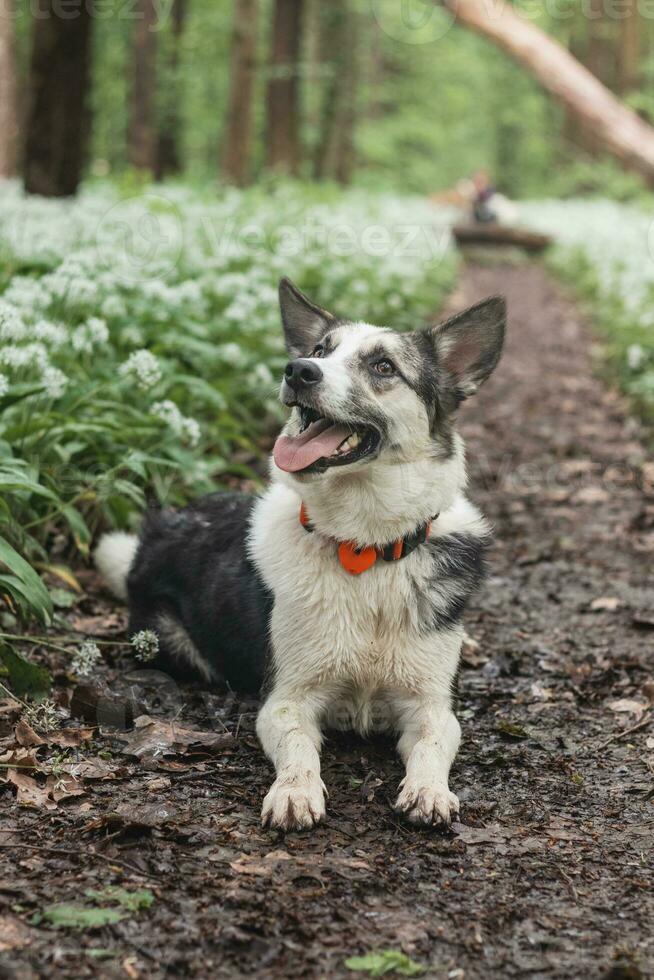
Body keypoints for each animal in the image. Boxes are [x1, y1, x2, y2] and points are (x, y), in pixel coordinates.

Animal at [97, 280, 508, 832]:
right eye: (319, 350)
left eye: (383, 366)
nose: (298, 371)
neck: (364, 548)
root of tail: (157, 532)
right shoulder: (286, 700)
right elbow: (298, 749)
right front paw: (295, 792)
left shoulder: (430, 706)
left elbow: (432, 747)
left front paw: (428, 790)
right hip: (172, 641)